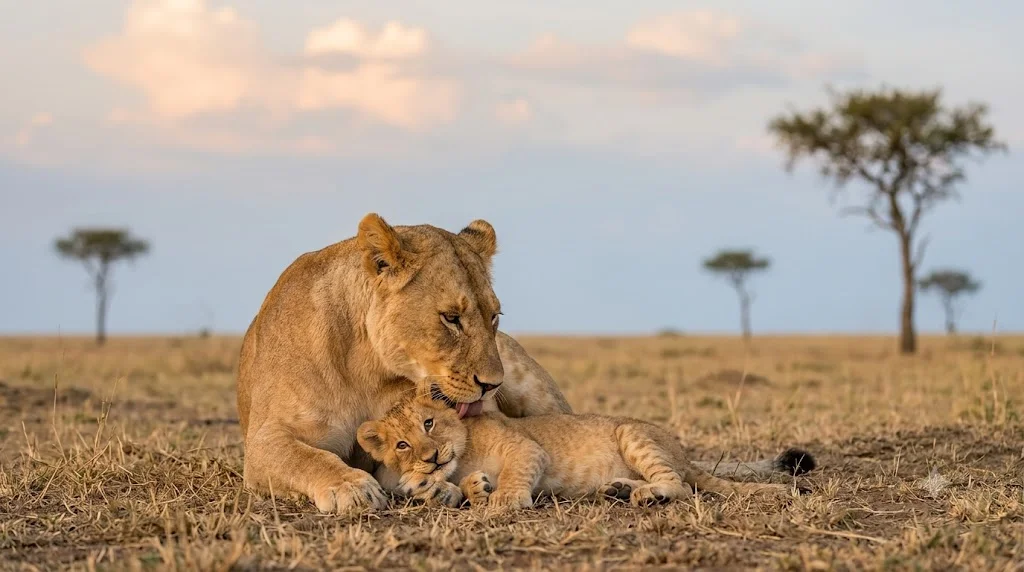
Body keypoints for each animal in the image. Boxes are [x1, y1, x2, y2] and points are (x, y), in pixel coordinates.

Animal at [357, 394, 817, 510]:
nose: (430, 457)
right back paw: (619, 489)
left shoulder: (525, 447)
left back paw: (646, 494)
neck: (463, 454)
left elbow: (517, 473)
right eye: (401, 444)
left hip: (632, 433)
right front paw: (475, 489)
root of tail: (684, 455)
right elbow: (467, 486)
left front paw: (504, 498)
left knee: (680, 486)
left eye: (428, 424)